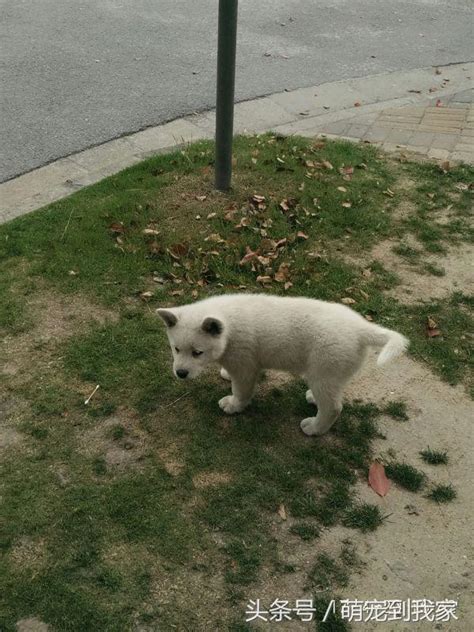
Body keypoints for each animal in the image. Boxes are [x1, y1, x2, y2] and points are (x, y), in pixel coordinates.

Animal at [157, 296, 410, 434]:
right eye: (176, 349)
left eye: (197, 353)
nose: (180, 373)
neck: (228, 328)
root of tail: (361, 329)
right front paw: (226, 373)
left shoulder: (246, 366)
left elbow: (241, 390)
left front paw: (233, 405)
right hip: (334, 372)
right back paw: (313, 399)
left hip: (324, 370)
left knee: (333, 407)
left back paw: (314, 428)